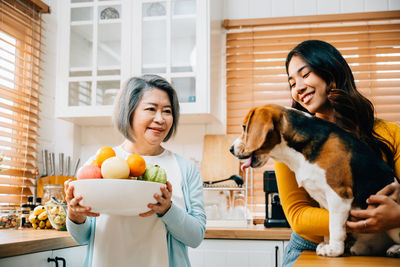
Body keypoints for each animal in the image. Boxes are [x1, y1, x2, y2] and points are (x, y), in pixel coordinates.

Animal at [230, 104, 398, 258]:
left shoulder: (339, 196)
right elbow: (327, 226)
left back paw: (395, 249)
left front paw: (334, 250)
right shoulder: (325, 201)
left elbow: (335, 227)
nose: (231, 149)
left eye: (244, 127)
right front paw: (327, 244)